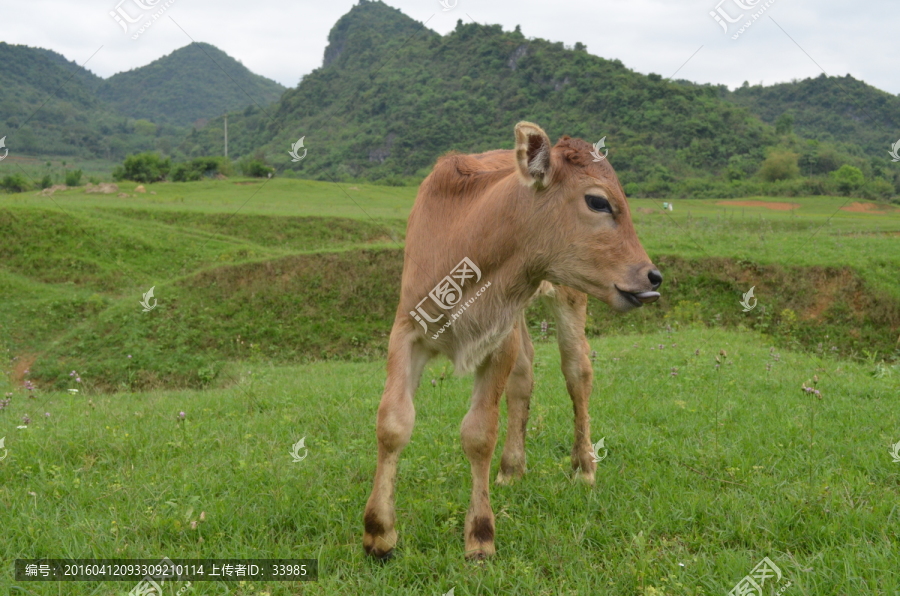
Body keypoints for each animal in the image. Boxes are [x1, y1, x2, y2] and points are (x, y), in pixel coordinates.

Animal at [362, 120, 664, 560]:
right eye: (598, 201)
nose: (652, 275)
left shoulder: (497, 339)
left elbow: (479, 432)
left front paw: (480, 534)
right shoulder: (407, 329)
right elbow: (393, 422)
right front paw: (378, 531)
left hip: (568, 296)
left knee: (577, 372)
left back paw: (583, 466)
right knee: (525, 375)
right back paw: (511, 467)